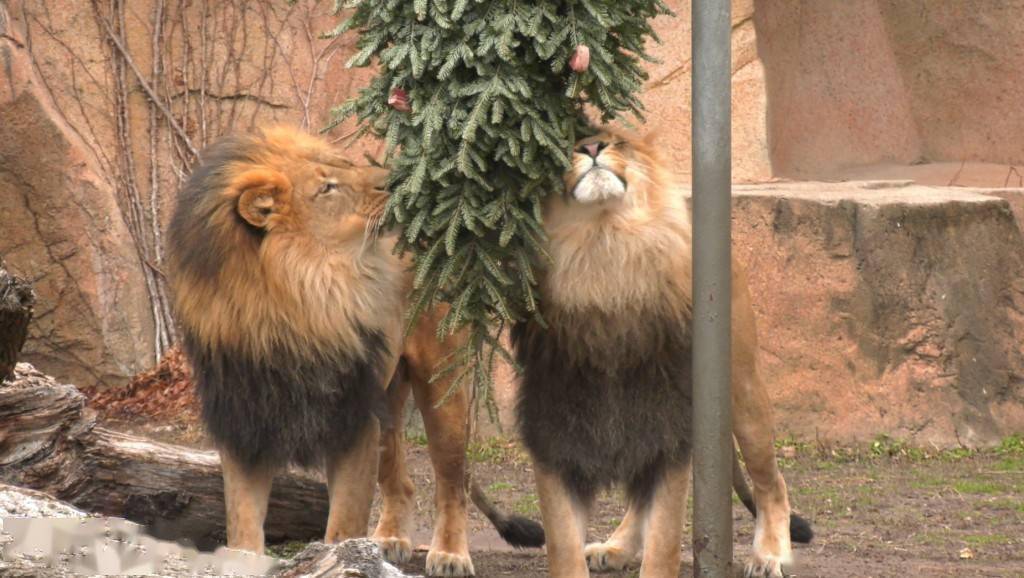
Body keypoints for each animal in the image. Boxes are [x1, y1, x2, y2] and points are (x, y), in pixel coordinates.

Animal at [165, 127, 544, 578]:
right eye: (327, 187)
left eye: (345, 165)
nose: (399, 182)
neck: (294, 307)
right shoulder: (245, 424)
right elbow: (242, 527)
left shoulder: (353, 418)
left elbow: (343, 524)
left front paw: (339, 561)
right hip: (388, 398)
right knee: (402, 480)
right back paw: (390, 540)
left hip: (442, 382)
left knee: (452, 481)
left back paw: (450, 554)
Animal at [516, 129, 811, 578]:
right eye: (567, 142)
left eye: (616, 139)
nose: (591, 148)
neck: (605, 253)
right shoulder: (554, 431)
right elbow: (563, 547)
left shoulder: (672, 426)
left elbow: (663, 542)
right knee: (640, 500)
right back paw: (616, 547)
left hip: (743, 392)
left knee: (770, 482)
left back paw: (770, 554)